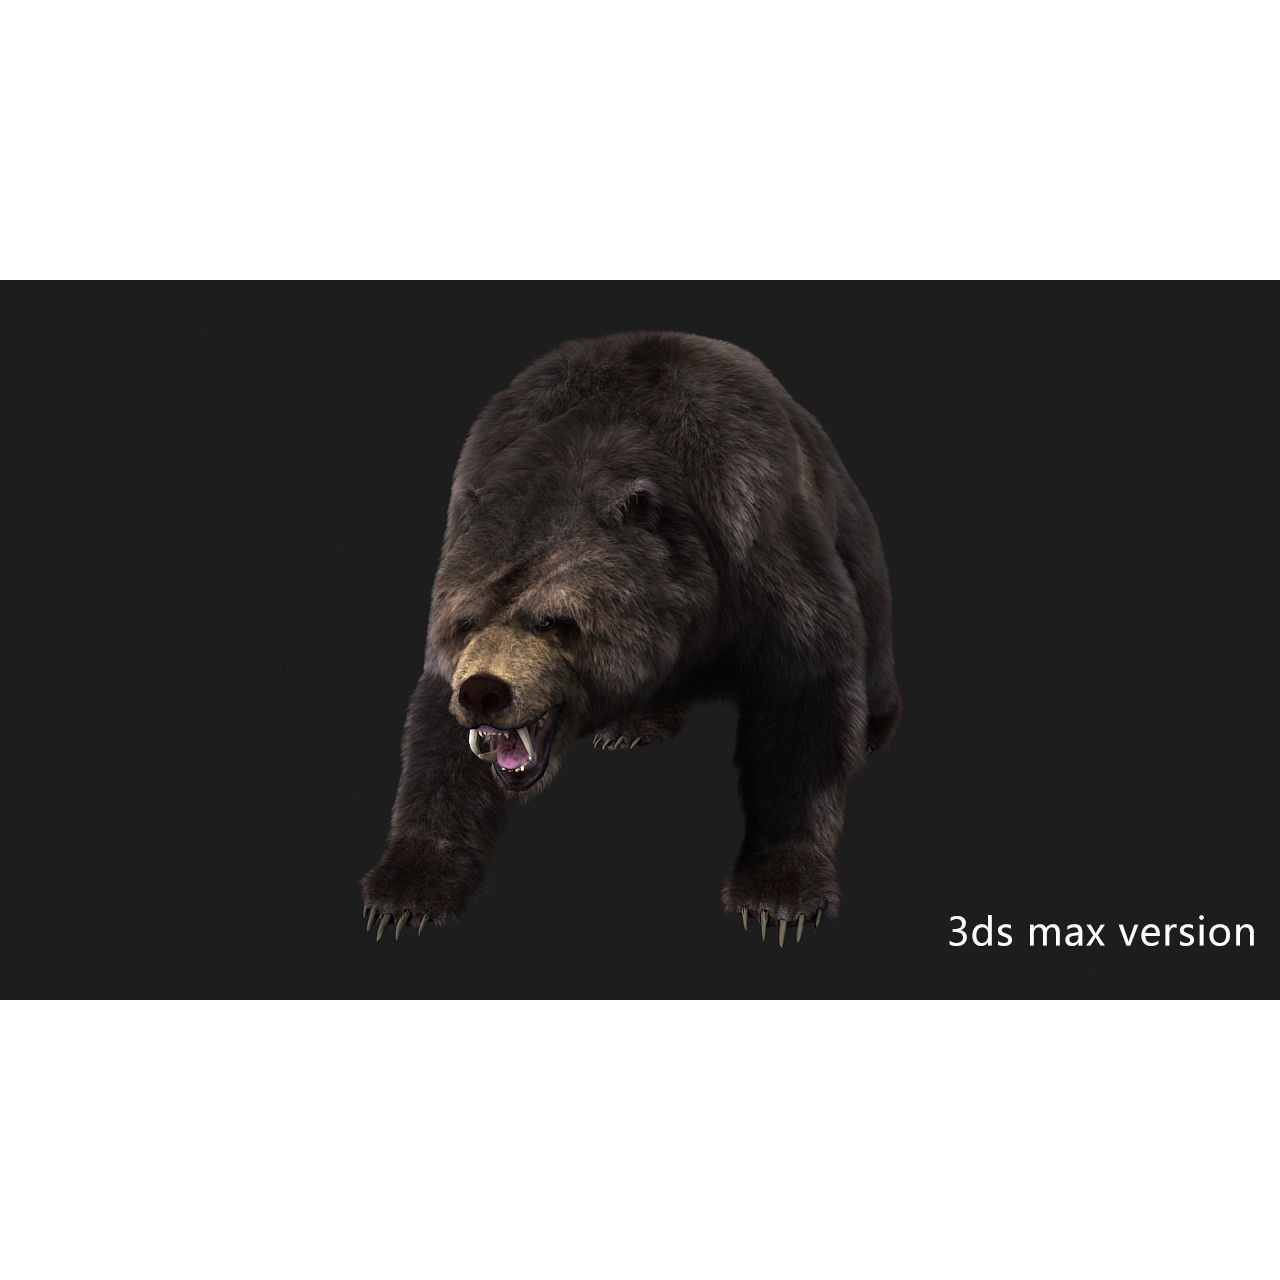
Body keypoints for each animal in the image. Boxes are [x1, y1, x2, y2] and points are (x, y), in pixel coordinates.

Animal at [361, 331, 901, 944]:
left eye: (552, 619)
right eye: (466, 619)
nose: (484, 692)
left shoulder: (756, 540)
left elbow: (806, 687)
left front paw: (779, 897)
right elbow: (442, 744)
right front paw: (403, 894)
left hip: (847, 525)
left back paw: (872, 728)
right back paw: (635, 724)